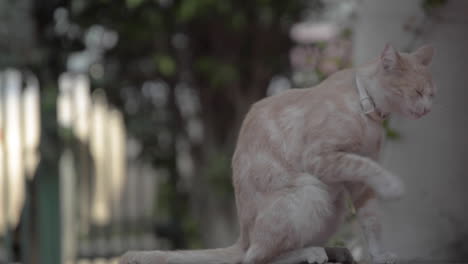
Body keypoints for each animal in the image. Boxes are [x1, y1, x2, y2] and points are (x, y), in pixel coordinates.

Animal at [119, 43, 436, 264]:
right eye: (418, 92)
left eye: (432, 94)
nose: (429, 109)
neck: (365, 108)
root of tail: (244, 236)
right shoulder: (322, 157)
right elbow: (368, 168)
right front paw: (392, 185)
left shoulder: (358, 182)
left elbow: (371, 220)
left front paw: (380, 255)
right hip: (311, 191)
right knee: (257, 258)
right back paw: (311, 252)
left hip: (332, 205)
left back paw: (333, 250)